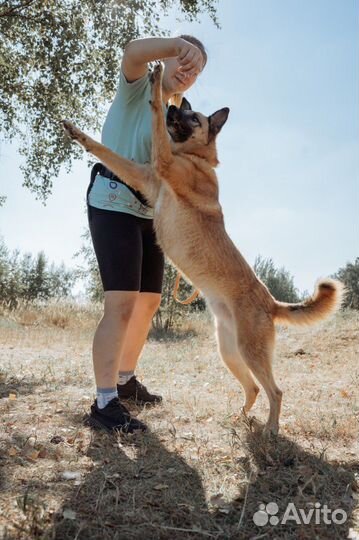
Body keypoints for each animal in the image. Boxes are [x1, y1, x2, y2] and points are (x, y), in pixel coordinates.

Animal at [63, 62, 344, 434]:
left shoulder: (160, 164)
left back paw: (270, 429)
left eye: (192, 117)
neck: (195, 158)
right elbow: (106, 152)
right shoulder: (145, 176)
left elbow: (149, 122)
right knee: (254, 388)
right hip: (230, 351)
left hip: (250, 352)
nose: (174, 108)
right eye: (185, 110)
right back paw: (241, 418)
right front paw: (77, 132)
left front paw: (155, 86)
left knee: (276, 391)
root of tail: (271, 302)